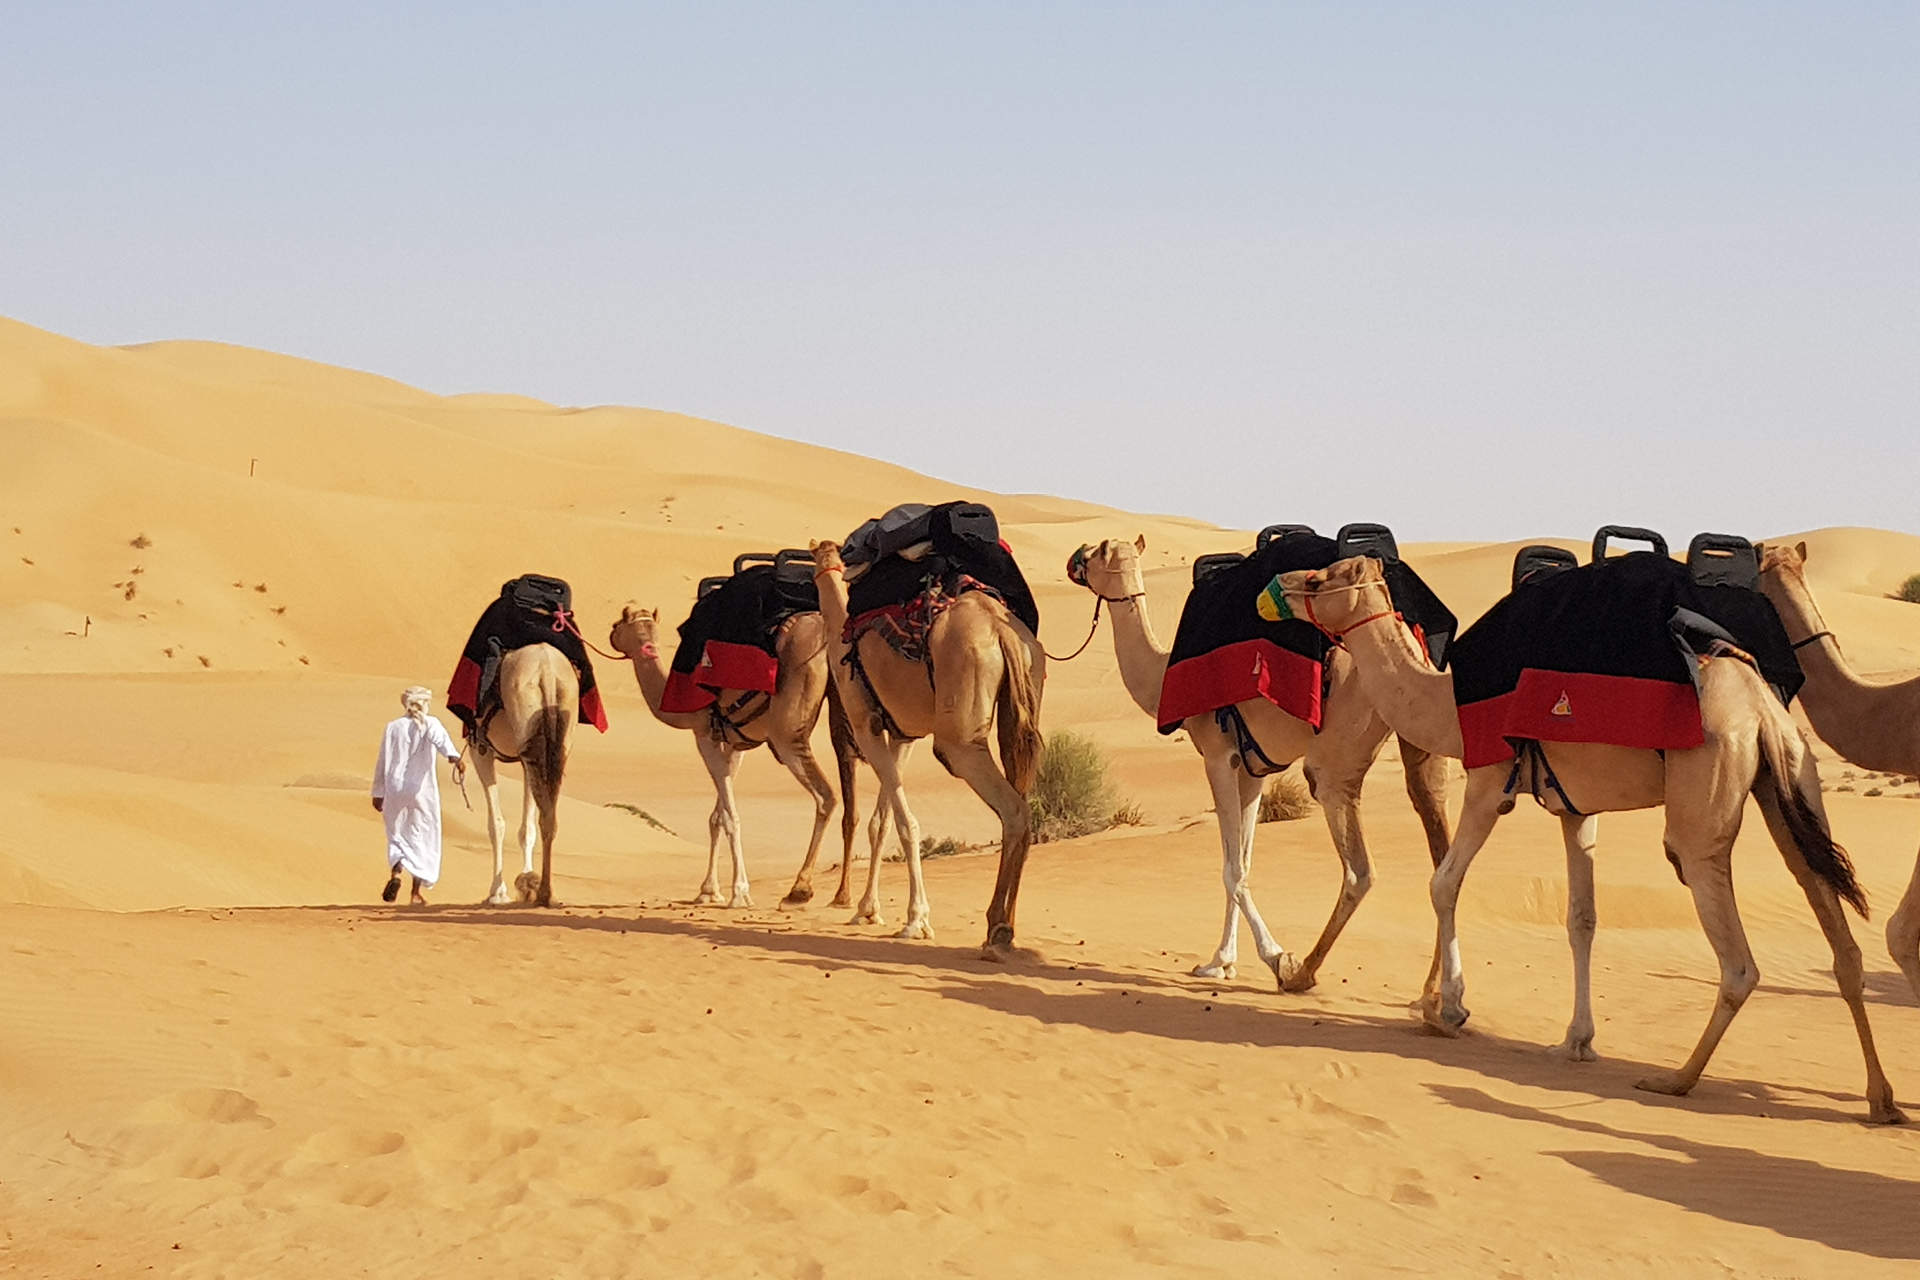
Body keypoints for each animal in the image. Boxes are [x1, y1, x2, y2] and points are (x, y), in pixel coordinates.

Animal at [470, 644, 576, 908]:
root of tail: (546, 667)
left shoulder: (481, 751)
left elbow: (496, 824)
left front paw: (497, 892)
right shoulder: (523, 758)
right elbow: (526, 828)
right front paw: (525, 880)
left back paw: (541, 891)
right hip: (556, 739)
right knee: (548, 815)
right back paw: (545, 892)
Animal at [608, 605, 868, 910]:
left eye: (617, 624)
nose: (611, 636)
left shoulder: (703, 734)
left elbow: (730, 817)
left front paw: (739, 893)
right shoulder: (734, 743)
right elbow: (717, 816)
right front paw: (708, 890)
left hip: (787, 734)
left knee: (826, 795)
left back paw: (799, 890)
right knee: (851, 804)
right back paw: (843, 896)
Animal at [808, 539, 1045, 956]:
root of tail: (1001, 631)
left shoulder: (866, 725)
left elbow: (905, 822)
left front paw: (915, 920)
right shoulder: (903, 734)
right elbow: (882, 821)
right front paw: (868, 910)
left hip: (959, 738)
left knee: (1013, 810)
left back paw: (997, 928)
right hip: (1024, 704)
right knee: (1022, 801)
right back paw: (1005, 927)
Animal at [1069, 536, 1452, 989]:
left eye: (1097, 552)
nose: (1076, 557)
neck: (1161, 675)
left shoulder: (1218, 755)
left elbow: (1231, 869)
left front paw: (1271, 956)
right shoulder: (1252, 769)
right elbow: (1245, 862)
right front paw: (1221, 961)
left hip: (1337, 755)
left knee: (1360, 869)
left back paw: (1302, 972)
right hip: (1420, 739)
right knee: (1440, 843)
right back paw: (1432, 994)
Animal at [1275, 554, 1904, 1123]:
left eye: (1319, 580)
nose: (1279, 582)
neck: (1446, 705)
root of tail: (1757, 710)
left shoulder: (1488, 780)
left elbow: (1443, 884)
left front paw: (1446, 1010)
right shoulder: (1576, 808)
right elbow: (1582, 917)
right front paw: (1576, 1040)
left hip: (1707, 794)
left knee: (1735, 953)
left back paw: (1675, 1079)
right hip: (1790, 784)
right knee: (1837, 929)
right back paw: (1881, 1099)